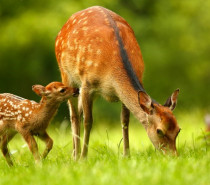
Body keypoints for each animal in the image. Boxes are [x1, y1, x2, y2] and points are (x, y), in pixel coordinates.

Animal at [55, 5, 181, 159]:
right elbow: (88, 121)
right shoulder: (87, 85)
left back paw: (73, 152)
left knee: (77, 112)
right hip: (66, 74)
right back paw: (76, 155)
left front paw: (126, 154)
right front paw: (83, 157)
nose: (173, 156)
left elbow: (125, 121)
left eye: (178, 130)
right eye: (159, 131)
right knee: (74, 115)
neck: (111, 73)